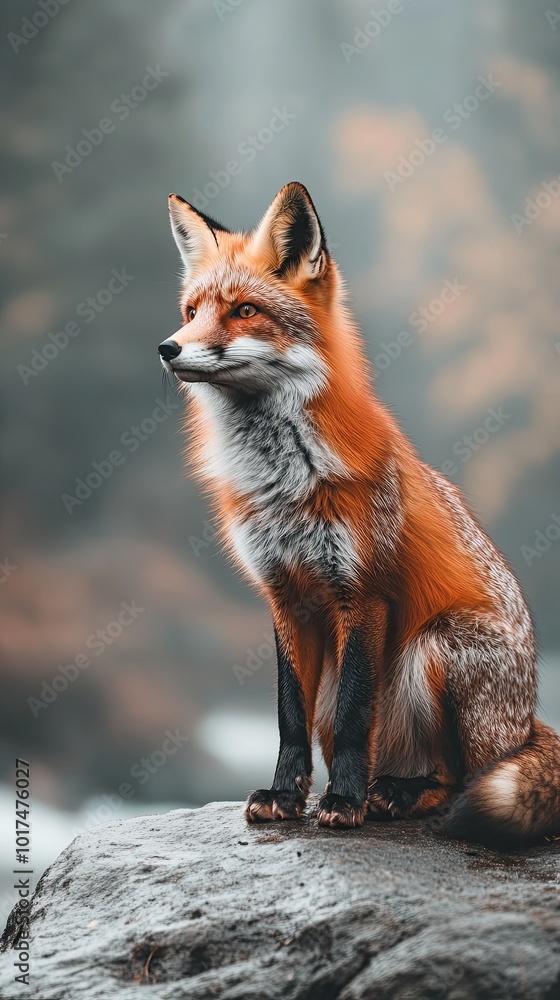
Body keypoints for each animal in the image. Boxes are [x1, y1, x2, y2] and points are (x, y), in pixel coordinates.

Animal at [159, 181, 560, 848]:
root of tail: (528, 722)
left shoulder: (363, 593)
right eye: (192, 312)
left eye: (244, 311)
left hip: (438, 646)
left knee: (460, 778)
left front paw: (343, 801)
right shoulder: (285, 596)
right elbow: (288, 716)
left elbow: (353, 717)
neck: (284, 481)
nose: (168, 348)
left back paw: (393, 794)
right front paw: (284, 796)